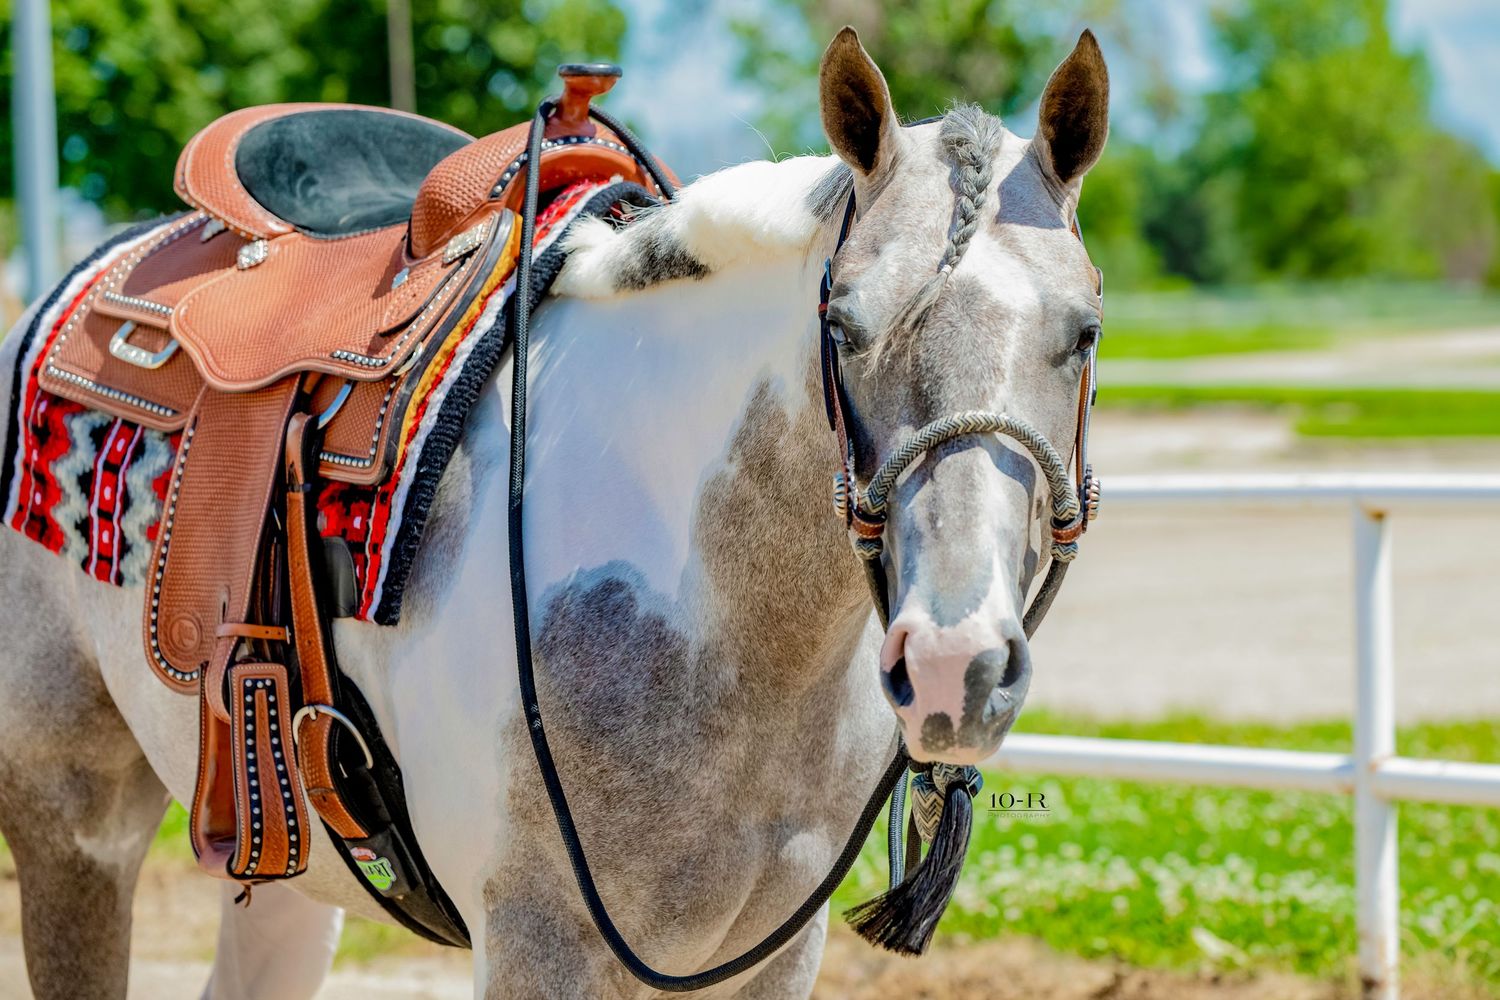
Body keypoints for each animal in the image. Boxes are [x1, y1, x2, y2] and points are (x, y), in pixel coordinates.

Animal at [0, 26, 1108, 999]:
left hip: (282, 850)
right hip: (73, 820)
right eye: (841, 323)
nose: (955, 665)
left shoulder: (774, 954)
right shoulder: (538, 938)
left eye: (1087, 330)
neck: (727, 633)